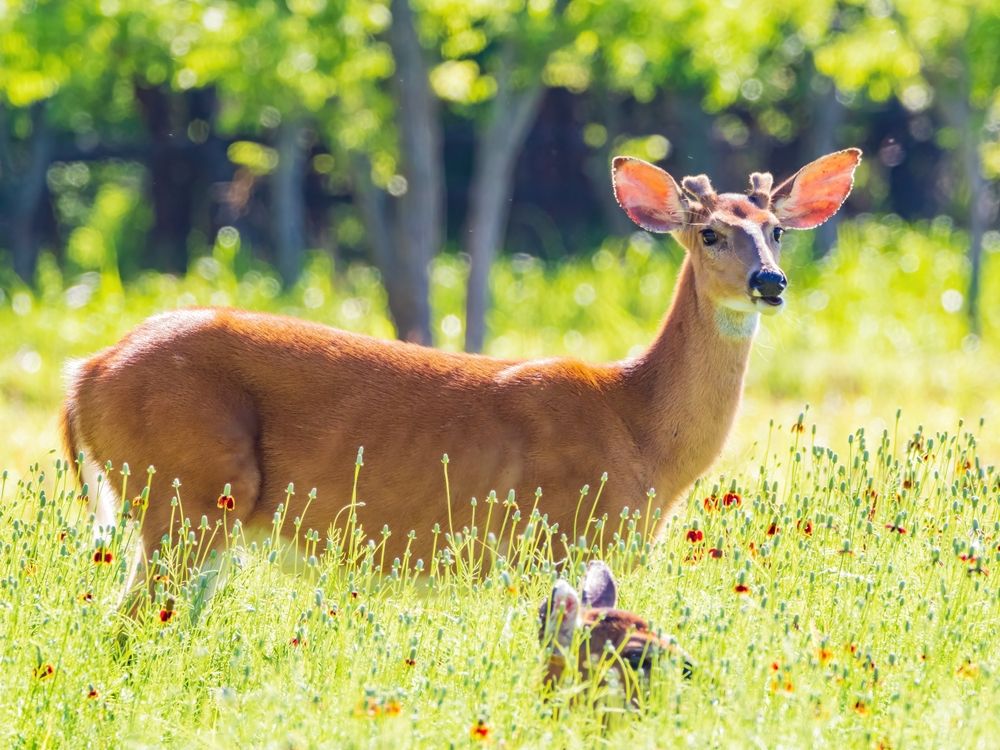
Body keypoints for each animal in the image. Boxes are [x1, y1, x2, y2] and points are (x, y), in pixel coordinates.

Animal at [61, 148, 861, 594]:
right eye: (711, 232)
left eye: (778, 230)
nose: (769, 282)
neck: (639, 429)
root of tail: (83, 376)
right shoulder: (556, 538)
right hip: (189, 488)